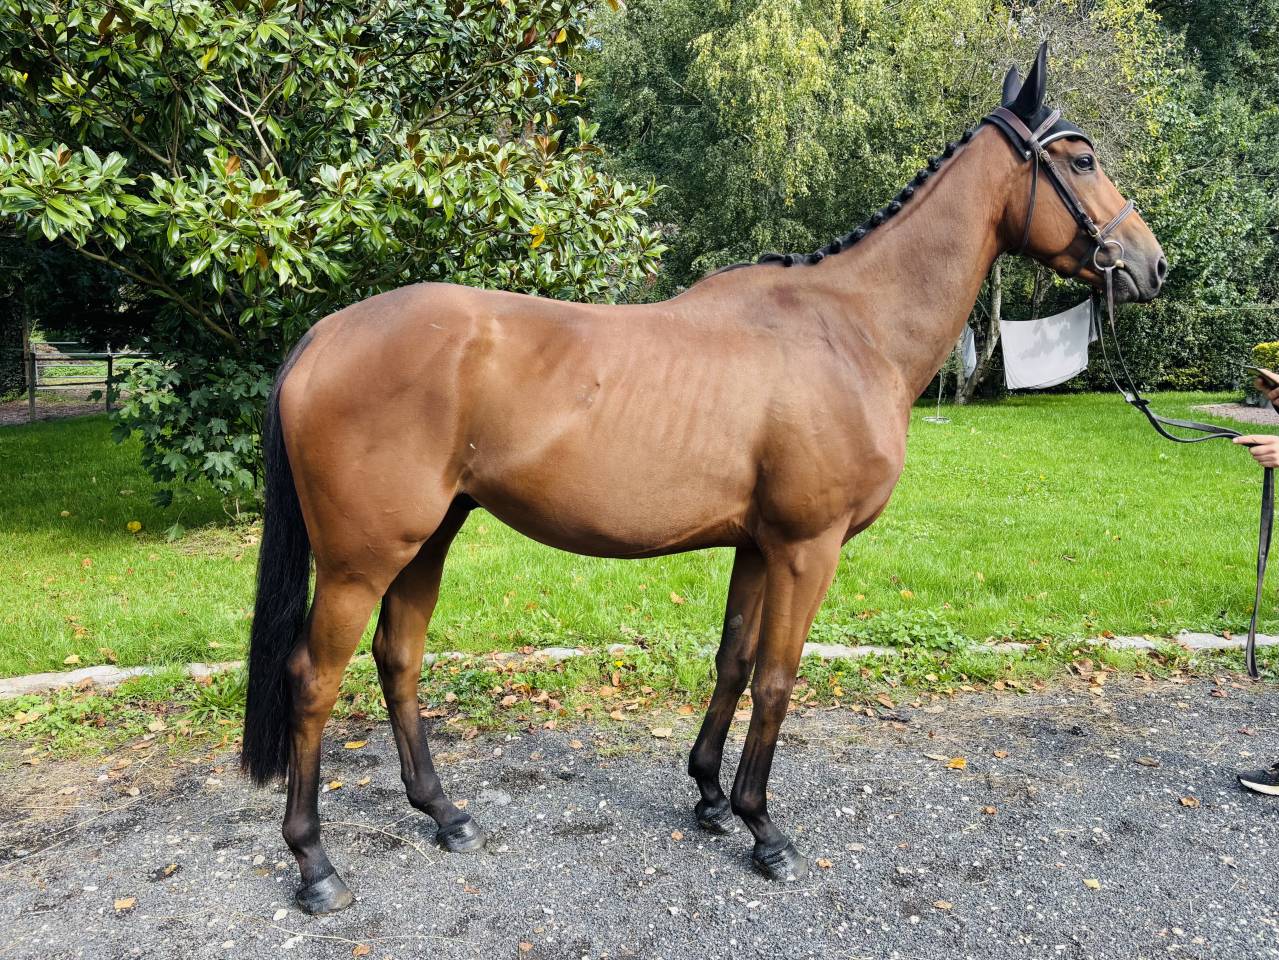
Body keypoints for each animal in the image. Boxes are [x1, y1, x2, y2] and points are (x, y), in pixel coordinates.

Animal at [241, 42, 1166, 914]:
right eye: (1081, 159)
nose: (1150, 266)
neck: (851, 327)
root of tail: (326, 333)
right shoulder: (806, 548)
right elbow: (778, 680)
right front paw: (764, 829)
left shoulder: (757, 547)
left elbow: (731, 662)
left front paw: (712, 798)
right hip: (362, 559)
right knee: (313, 680)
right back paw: (316, 865)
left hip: (431, 535)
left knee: (398, 658)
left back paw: (445, 814)